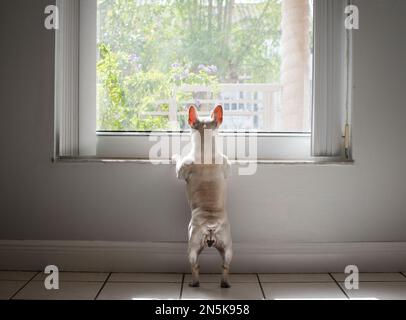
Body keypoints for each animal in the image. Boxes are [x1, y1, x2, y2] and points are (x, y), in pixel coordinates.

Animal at [174, 104, 232, 288]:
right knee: (225, 266)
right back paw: (225, 283)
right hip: (228, 247)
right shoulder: (226, 164)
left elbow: (179, 163)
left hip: (192, 246)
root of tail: (211, 225)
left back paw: (194, 283)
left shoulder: (182, 169)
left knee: (195, 265)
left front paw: (175, 155)